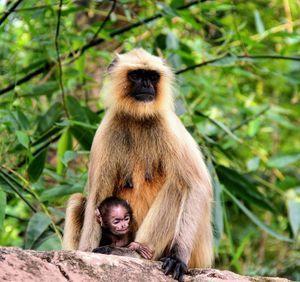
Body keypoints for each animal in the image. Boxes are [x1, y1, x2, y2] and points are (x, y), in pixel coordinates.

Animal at [63, 48, 213, 280]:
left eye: (152, 76)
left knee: (178, 186)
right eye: (136, 75)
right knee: (78, 200)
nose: (146, 84)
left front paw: (177, 257)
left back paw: (135, 254)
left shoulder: (168, 124)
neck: (138, 118)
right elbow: (97, 195)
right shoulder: (108, 128)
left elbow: (197, 184)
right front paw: (86, 253)